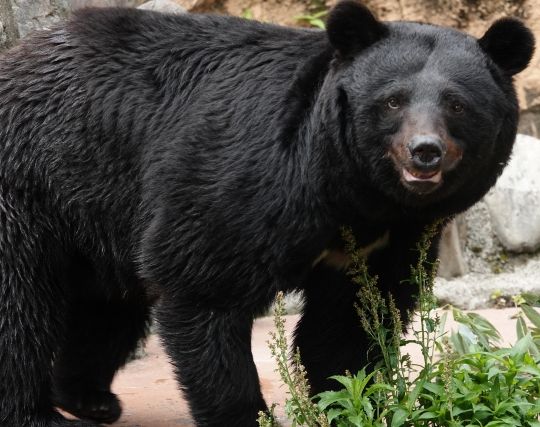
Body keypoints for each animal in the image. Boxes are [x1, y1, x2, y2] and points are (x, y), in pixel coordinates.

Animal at [0, 1, 532, 426]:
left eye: (457, 105)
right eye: (393, 101)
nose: (424, 152)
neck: (357, 194)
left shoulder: (388, 239)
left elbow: (352, 320)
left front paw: (351, 404)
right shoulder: (245, 182)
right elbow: (204, 289)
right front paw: (246, 414)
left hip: (103, 207)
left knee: (109, 305)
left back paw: (89, 398)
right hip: (34, 182)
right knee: (21, 304)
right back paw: (37, 413)